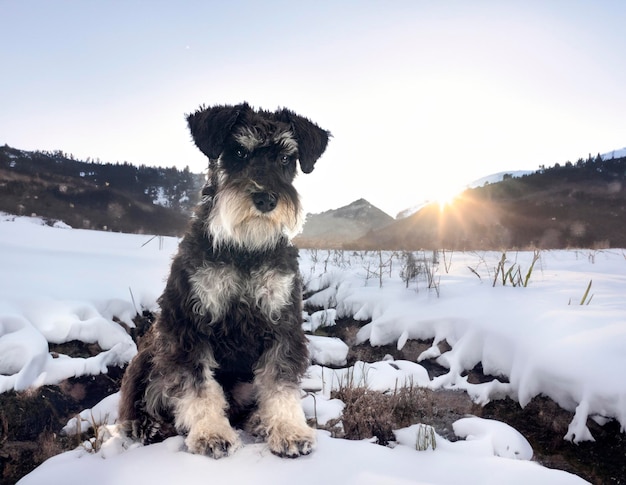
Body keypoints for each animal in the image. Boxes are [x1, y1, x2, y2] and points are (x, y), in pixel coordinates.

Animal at [119, 102, 330, 458]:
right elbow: (198, 385)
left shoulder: (282, 323)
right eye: (239, 151)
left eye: (285, 158)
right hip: (149, 357)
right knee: (144, 399)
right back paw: (147, 425)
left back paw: (260, 421)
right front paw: (210, 433)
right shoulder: (187, 326)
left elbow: (280, 382)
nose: (266, 200)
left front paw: (289, 430)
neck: (245, 250)